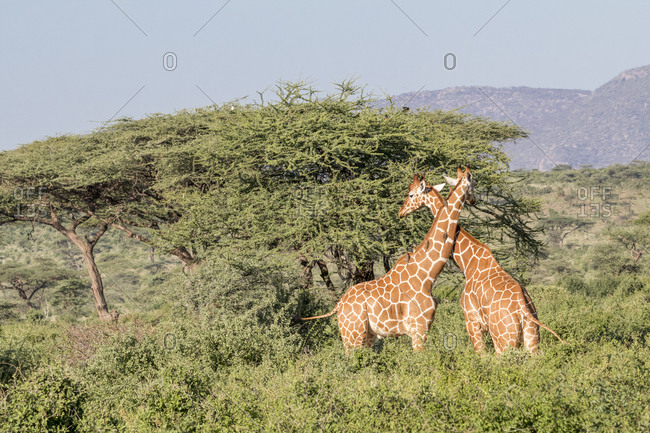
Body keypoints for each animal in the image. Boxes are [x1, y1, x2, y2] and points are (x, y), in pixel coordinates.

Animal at [295, 167, 474, 353]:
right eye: (410, 194)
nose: (401, 212)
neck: (427, 275)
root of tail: (338, 305)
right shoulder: (418, 328)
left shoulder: (424, 327)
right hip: (352, 337)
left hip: (366, 336)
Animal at [398, 173, 564, 354]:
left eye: (410, 195)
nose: (400, 212)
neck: (468, 262)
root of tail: (524, 311)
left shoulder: (471, 321)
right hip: (532, 339)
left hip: (503, 341)